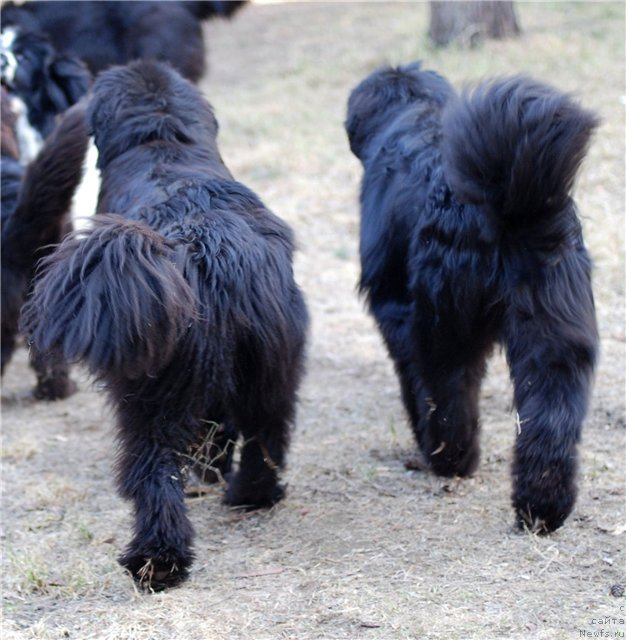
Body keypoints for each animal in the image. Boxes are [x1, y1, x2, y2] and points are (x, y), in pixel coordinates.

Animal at [20, 60, 308, 592]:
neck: (164, 141)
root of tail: (203, 244)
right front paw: (213, 471)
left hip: (149, 395)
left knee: (152, 471)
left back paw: (156, 562)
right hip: (272, 368)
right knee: (267, 433)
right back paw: (251, 494)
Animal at [346, 62, 600, 536]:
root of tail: (504, 204)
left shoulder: (396, 312)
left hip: (444, 327)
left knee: (448, 394)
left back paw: (449, 459)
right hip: (554, 334)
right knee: (551, 418)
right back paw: (542, 507)